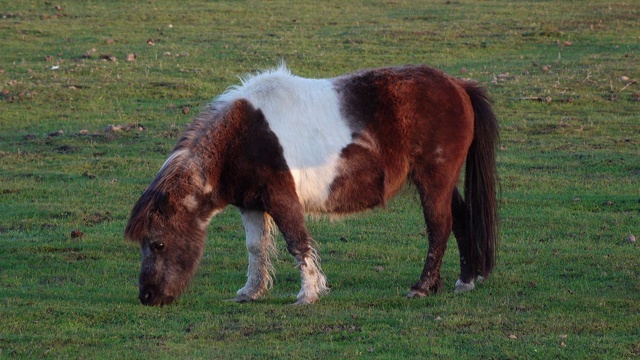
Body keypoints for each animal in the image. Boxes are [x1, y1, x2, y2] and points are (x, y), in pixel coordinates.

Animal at [122, 63, 498, 306]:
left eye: (157, 244)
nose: (147, 297)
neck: (242, 136)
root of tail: (458, 86)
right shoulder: (251, 204)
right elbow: (256, 248)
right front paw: (250, 292)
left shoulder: (281, 197)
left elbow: (297, 242)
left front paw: (308, 294)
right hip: (442, 183)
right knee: (460, 220)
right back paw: (464, 281)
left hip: (433, 180)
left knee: (439, 227)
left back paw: (422, 287)